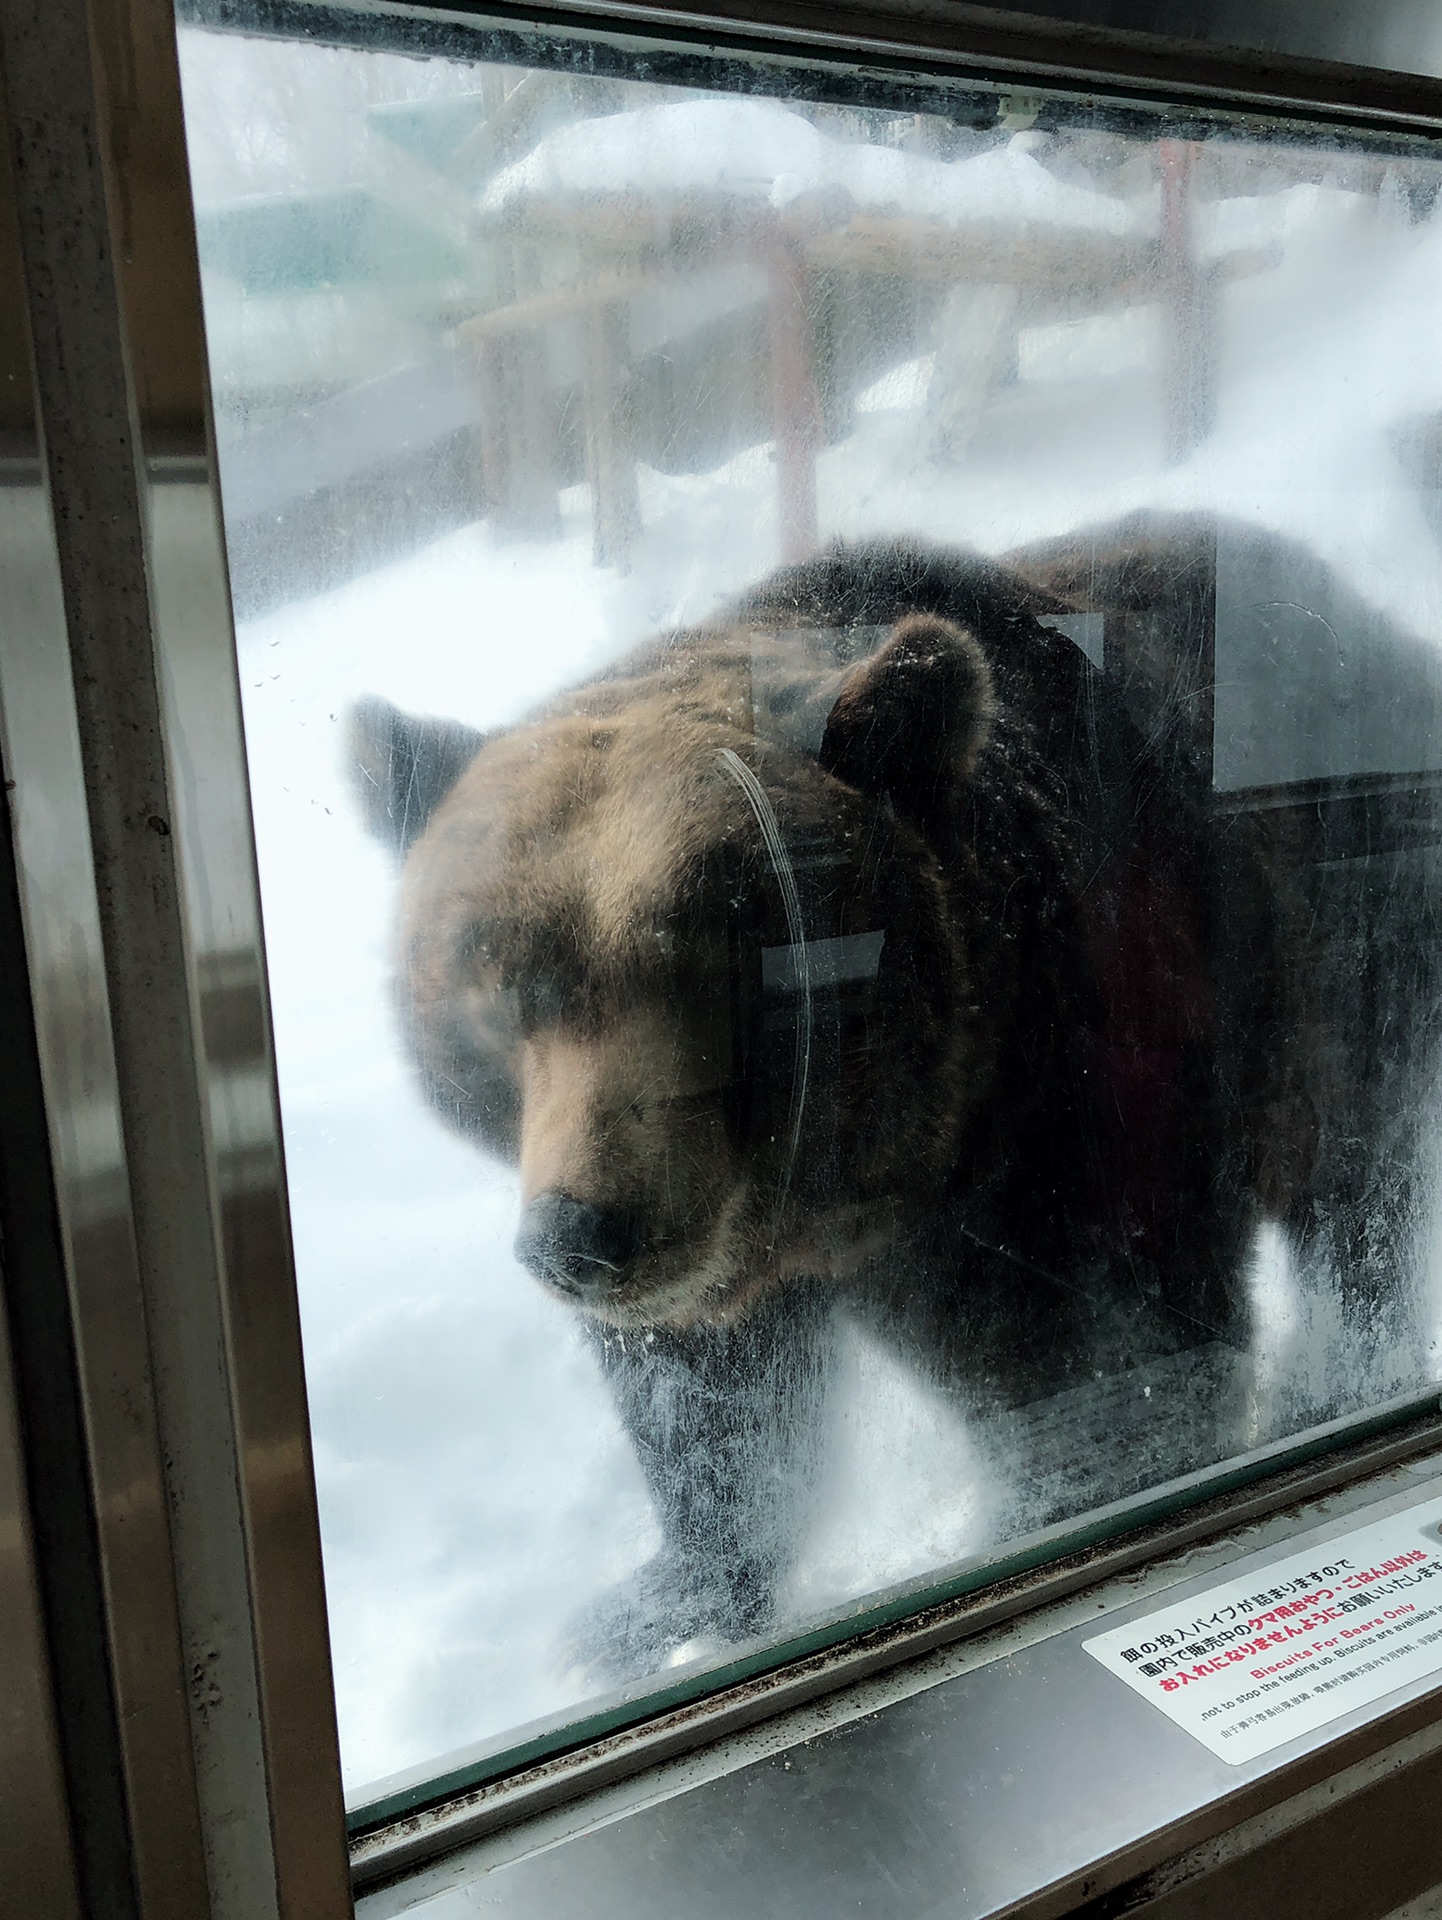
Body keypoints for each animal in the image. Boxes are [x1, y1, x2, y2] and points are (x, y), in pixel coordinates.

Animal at [353, 537, 1297, 1666]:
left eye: (723, 953)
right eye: (499, 988)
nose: (578, 1237)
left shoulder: (1060, 1133)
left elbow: (1107, 1370)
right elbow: (709, 1399)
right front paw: (653, 1603)